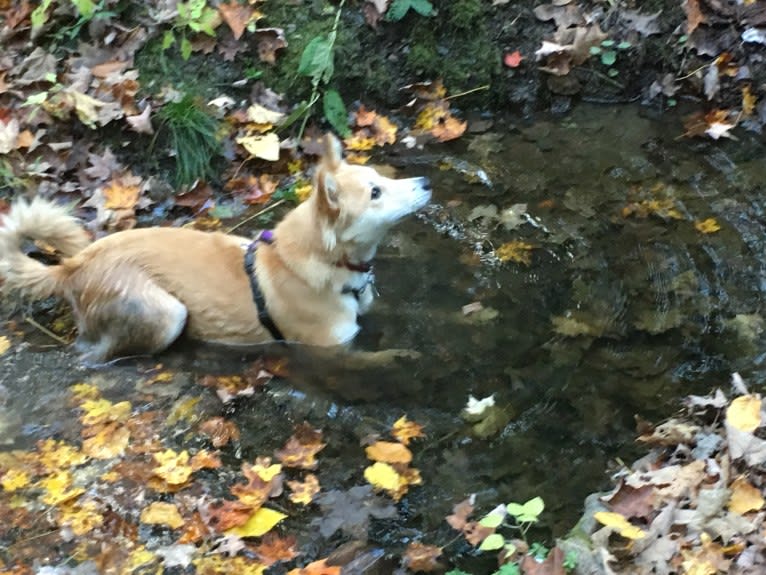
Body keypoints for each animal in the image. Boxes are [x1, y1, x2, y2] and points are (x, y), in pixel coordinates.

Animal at [0, 133, 432, 362]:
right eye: (375, 192)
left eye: (380, 177)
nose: (426, 181)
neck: (327, 263)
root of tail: (72, 266)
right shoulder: (329, 349)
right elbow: (378, 361)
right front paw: (407, 357)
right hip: (167, 314)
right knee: (101, 352)